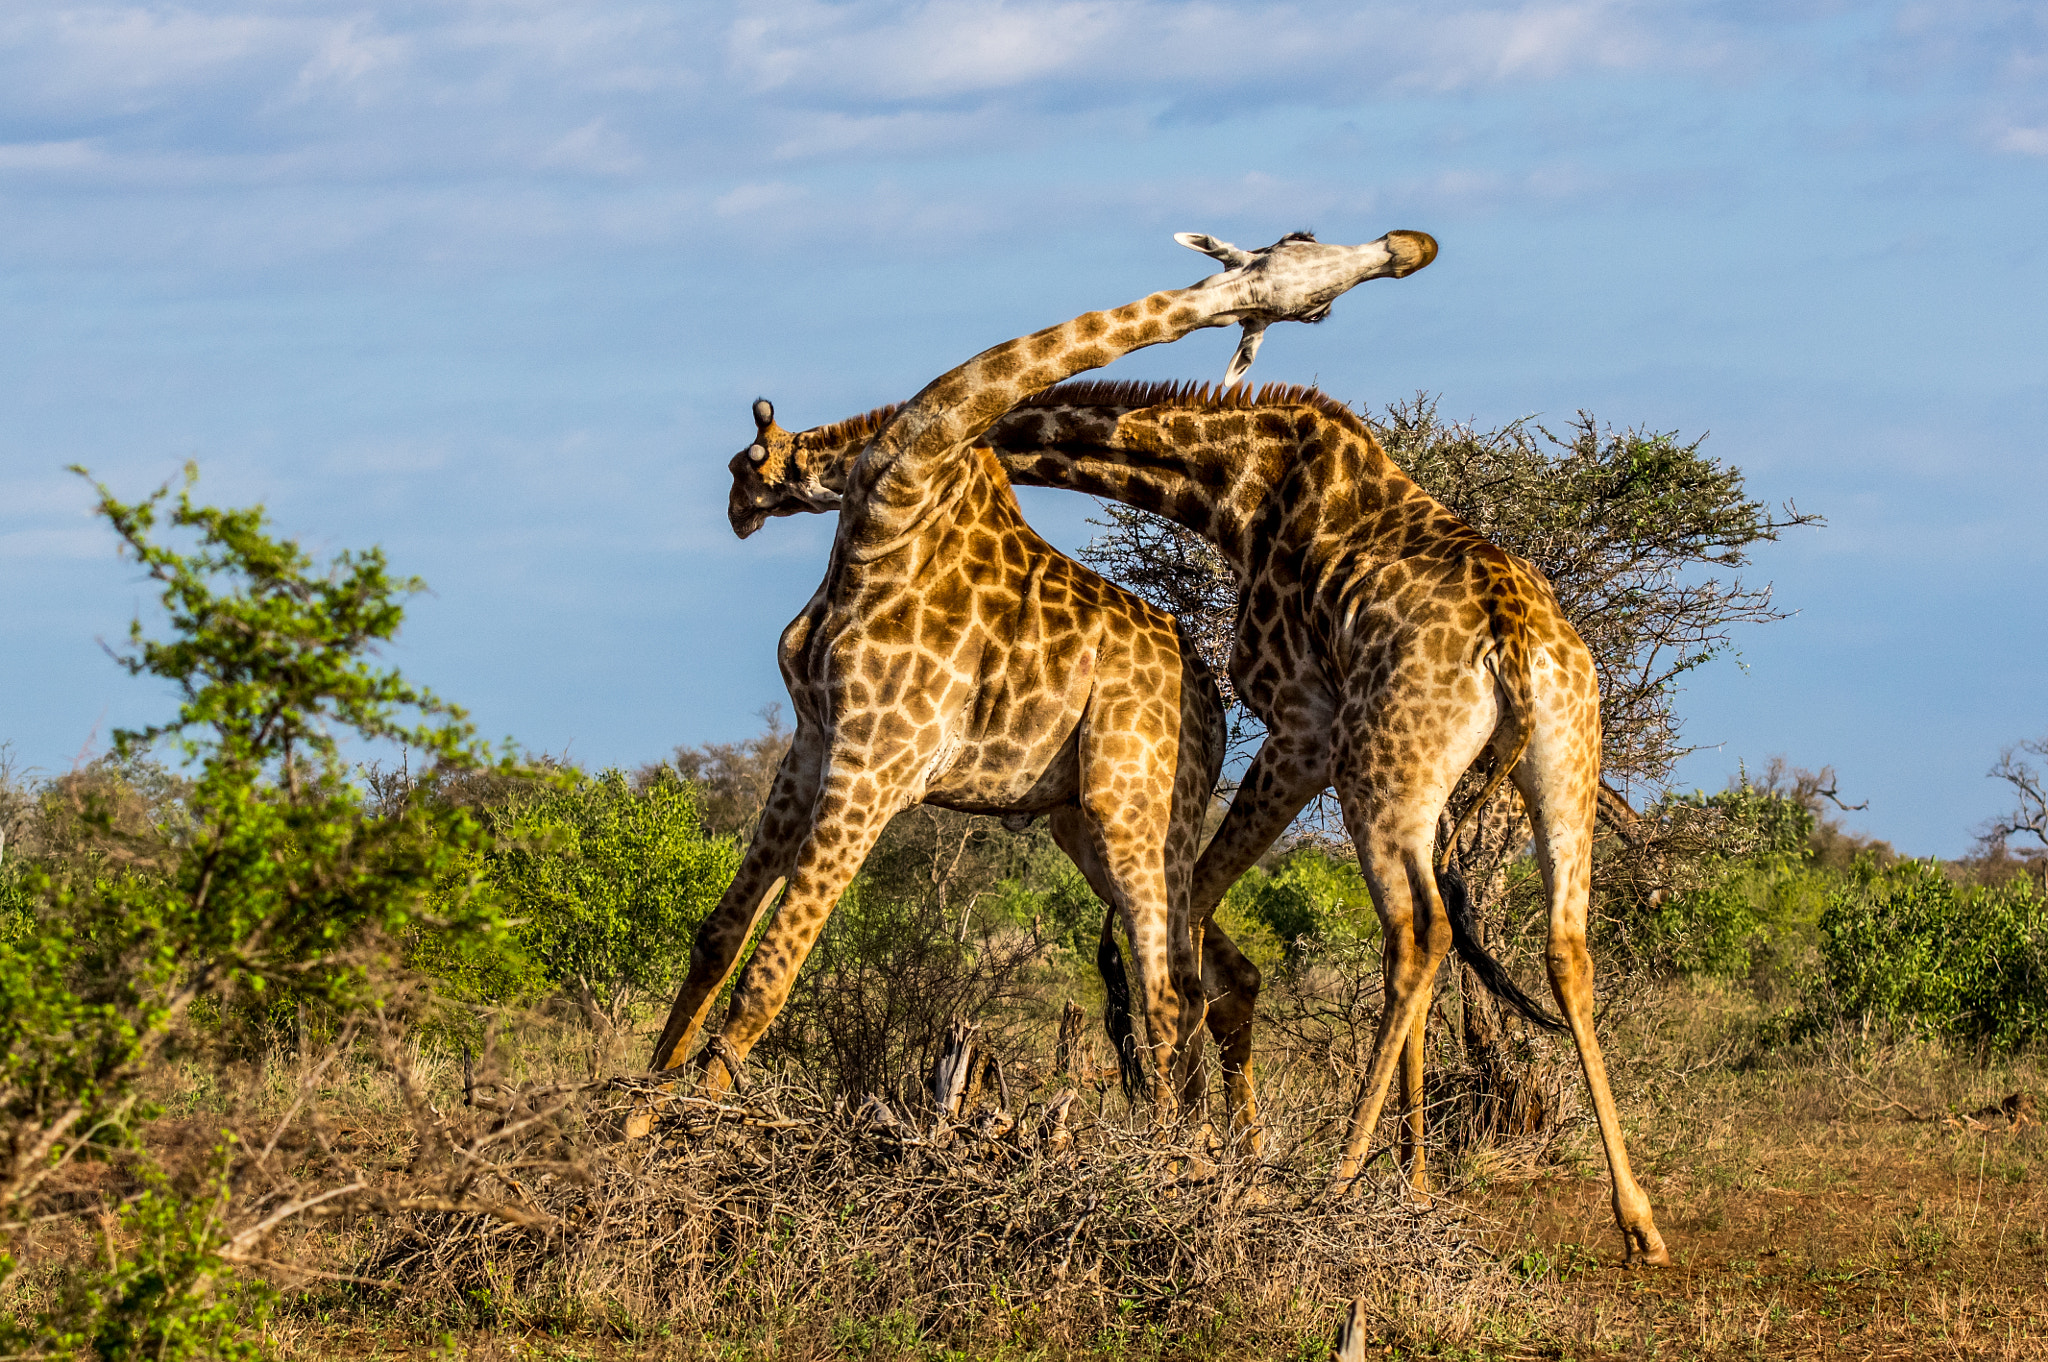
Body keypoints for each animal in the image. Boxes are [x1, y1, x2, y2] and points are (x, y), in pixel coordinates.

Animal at [643, 225, 1441, 1114]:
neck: (891, 502)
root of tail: (1211, 702)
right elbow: (718, 938)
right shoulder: (815, 740)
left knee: (1170, 989)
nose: (1410, 246)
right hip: (1084, 823)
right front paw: (636, 1109)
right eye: (1307, 267)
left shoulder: (878, 762)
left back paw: (1178, 1151)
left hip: (1134, 812)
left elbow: (769, 977)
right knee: (1210, 976)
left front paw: (676, 1121)